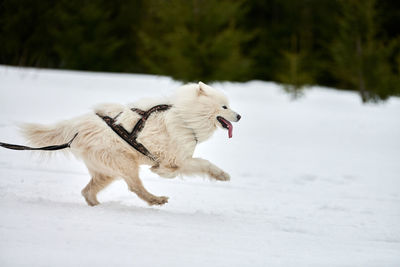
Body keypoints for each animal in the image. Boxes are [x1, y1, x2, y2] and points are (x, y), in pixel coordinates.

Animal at [21, 81, 241, 207]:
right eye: (224, 107)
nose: (239, 116)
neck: (185, 116)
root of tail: (77, 127)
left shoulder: (182, 157)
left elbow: (200, 165)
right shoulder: (178, 157)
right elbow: (200, 164)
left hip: (108, 172)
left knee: (87, 191)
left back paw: (98, 207)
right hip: (125, 164)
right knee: (135, 187)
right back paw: (156, 200)